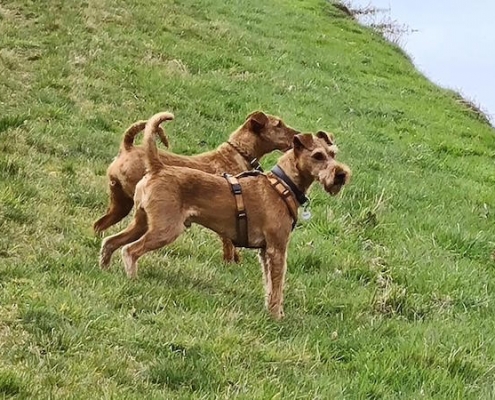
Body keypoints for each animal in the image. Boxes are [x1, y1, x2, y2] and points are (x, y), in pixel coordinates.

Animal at [94, 111, 300, 264]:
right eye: (278, 124)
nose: (298, 135)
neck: (237, 153)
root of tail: (127, 148)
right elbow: (229, 245)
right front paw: (230, 264)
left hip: (121, 205)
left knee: (99, 225)